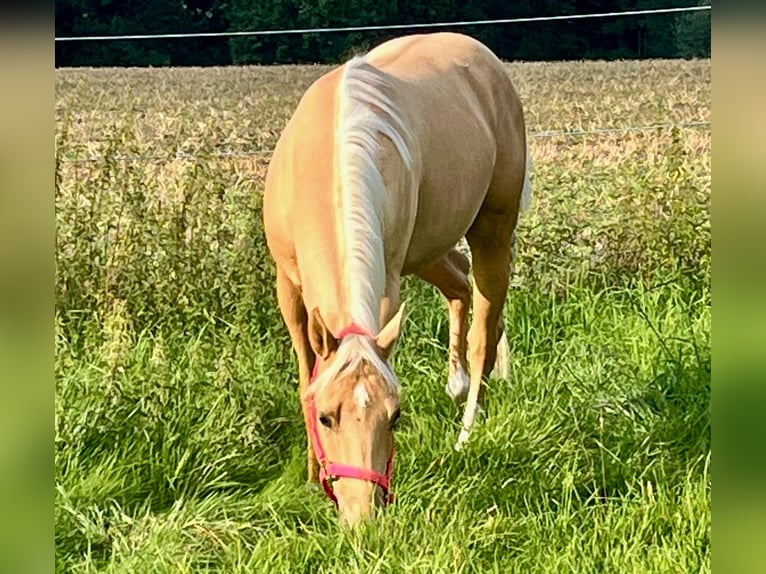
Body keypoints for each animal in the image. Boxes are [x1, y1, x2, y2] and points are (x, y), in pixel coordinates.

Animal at [263, 32, 531, 526]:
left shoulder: (387, 284)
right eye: (327, 417)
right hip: (428, 249)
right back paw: (455, 383)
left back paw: (467, 430)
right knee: (459, 285)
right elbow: (306, 372)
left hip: (492, 230)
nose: (362, 519)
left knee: (484, 329)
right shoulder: (288, 287)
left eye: (396, 417)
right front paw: (310, 476)